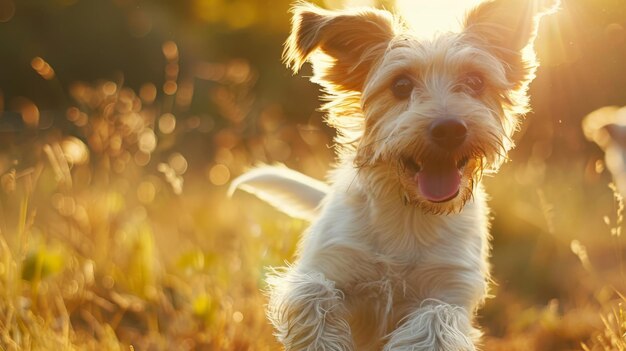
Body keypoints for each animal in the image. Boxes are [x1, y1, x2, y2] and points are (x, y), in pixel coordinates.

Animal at [228, 1, 556, 350]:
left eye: (475, 82)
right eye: (401, 85)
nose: (449, 129)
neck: (409, 213)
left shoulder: (450, 291)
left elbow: (435, 321)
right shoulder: (328, 266)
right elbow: (313, 294)